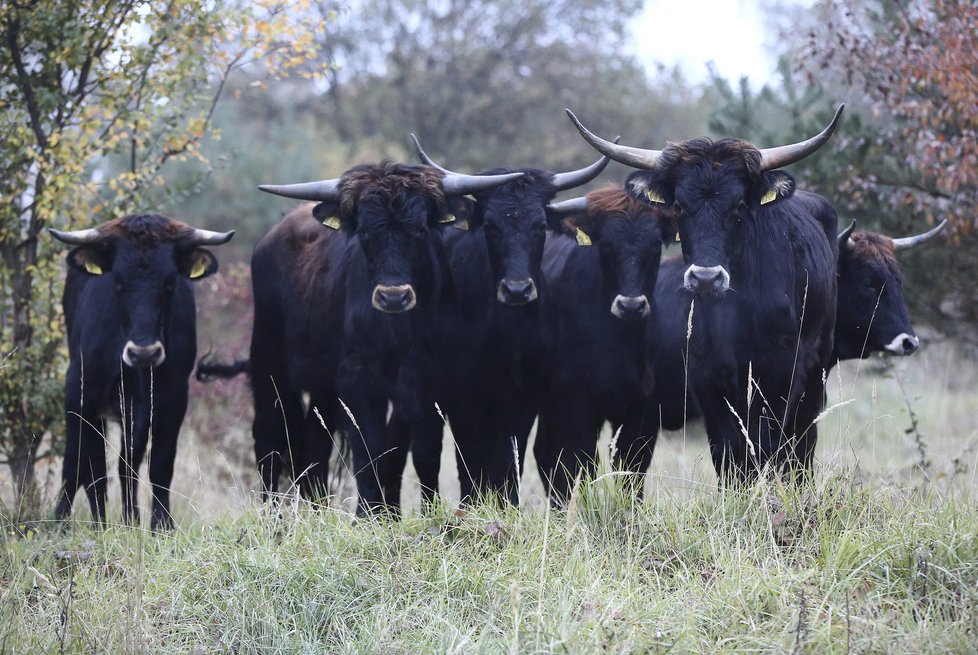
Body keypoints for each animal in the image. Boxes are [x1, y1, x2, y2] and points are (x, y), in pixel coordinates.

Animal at [49, 218, 233, 532]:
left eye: (170, 282)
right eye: (118, 282)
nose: (143, 353)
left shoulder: (171, 400)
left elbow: (158, 464)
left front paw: (159, 525)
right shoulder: (79, 392)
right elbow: (78, 462)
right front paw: (63, 522)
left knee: (126, 462)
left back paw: (128, 519)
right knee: (94, 463)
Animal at [248, 161, 520, 516]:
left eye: (420, 230)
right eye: (364, 232)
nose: (394, 297)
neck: (399, 333)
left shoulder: (426, 385)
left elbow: (419, 453)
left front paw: (410, 512)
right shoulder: (359, 383)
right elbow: (370, 451)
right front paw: (367, 515)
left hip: (323, 386)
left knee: (314, 445)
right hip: (268, 364)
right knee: (269, 437)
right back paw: (273, 514)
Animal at [410, 136, 608, 504]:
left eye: (540, 226)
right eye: (490, 226)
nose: (517, 289)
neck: (508, 335)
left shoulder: (524, 399)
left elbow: (511, 458)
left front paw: (508, 505)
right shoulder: (466, 397)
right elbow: (472, 461)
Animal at [528, 187, 668, 504]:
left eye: (656, 244)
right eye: (605, 244)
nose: (631, 306)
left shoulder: (638, 408)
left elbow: (630, 468)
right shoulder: (577, 405)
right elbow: (582, 463)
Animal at [568, 106, 844, 482]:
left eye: (739, 206)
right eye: (680, 207)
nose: (706, 278)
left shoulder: (779, 372)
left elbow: (766, 444)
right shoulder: (709, 378)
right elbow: (728, 452)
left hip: (817, 367)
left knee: (802, 440)